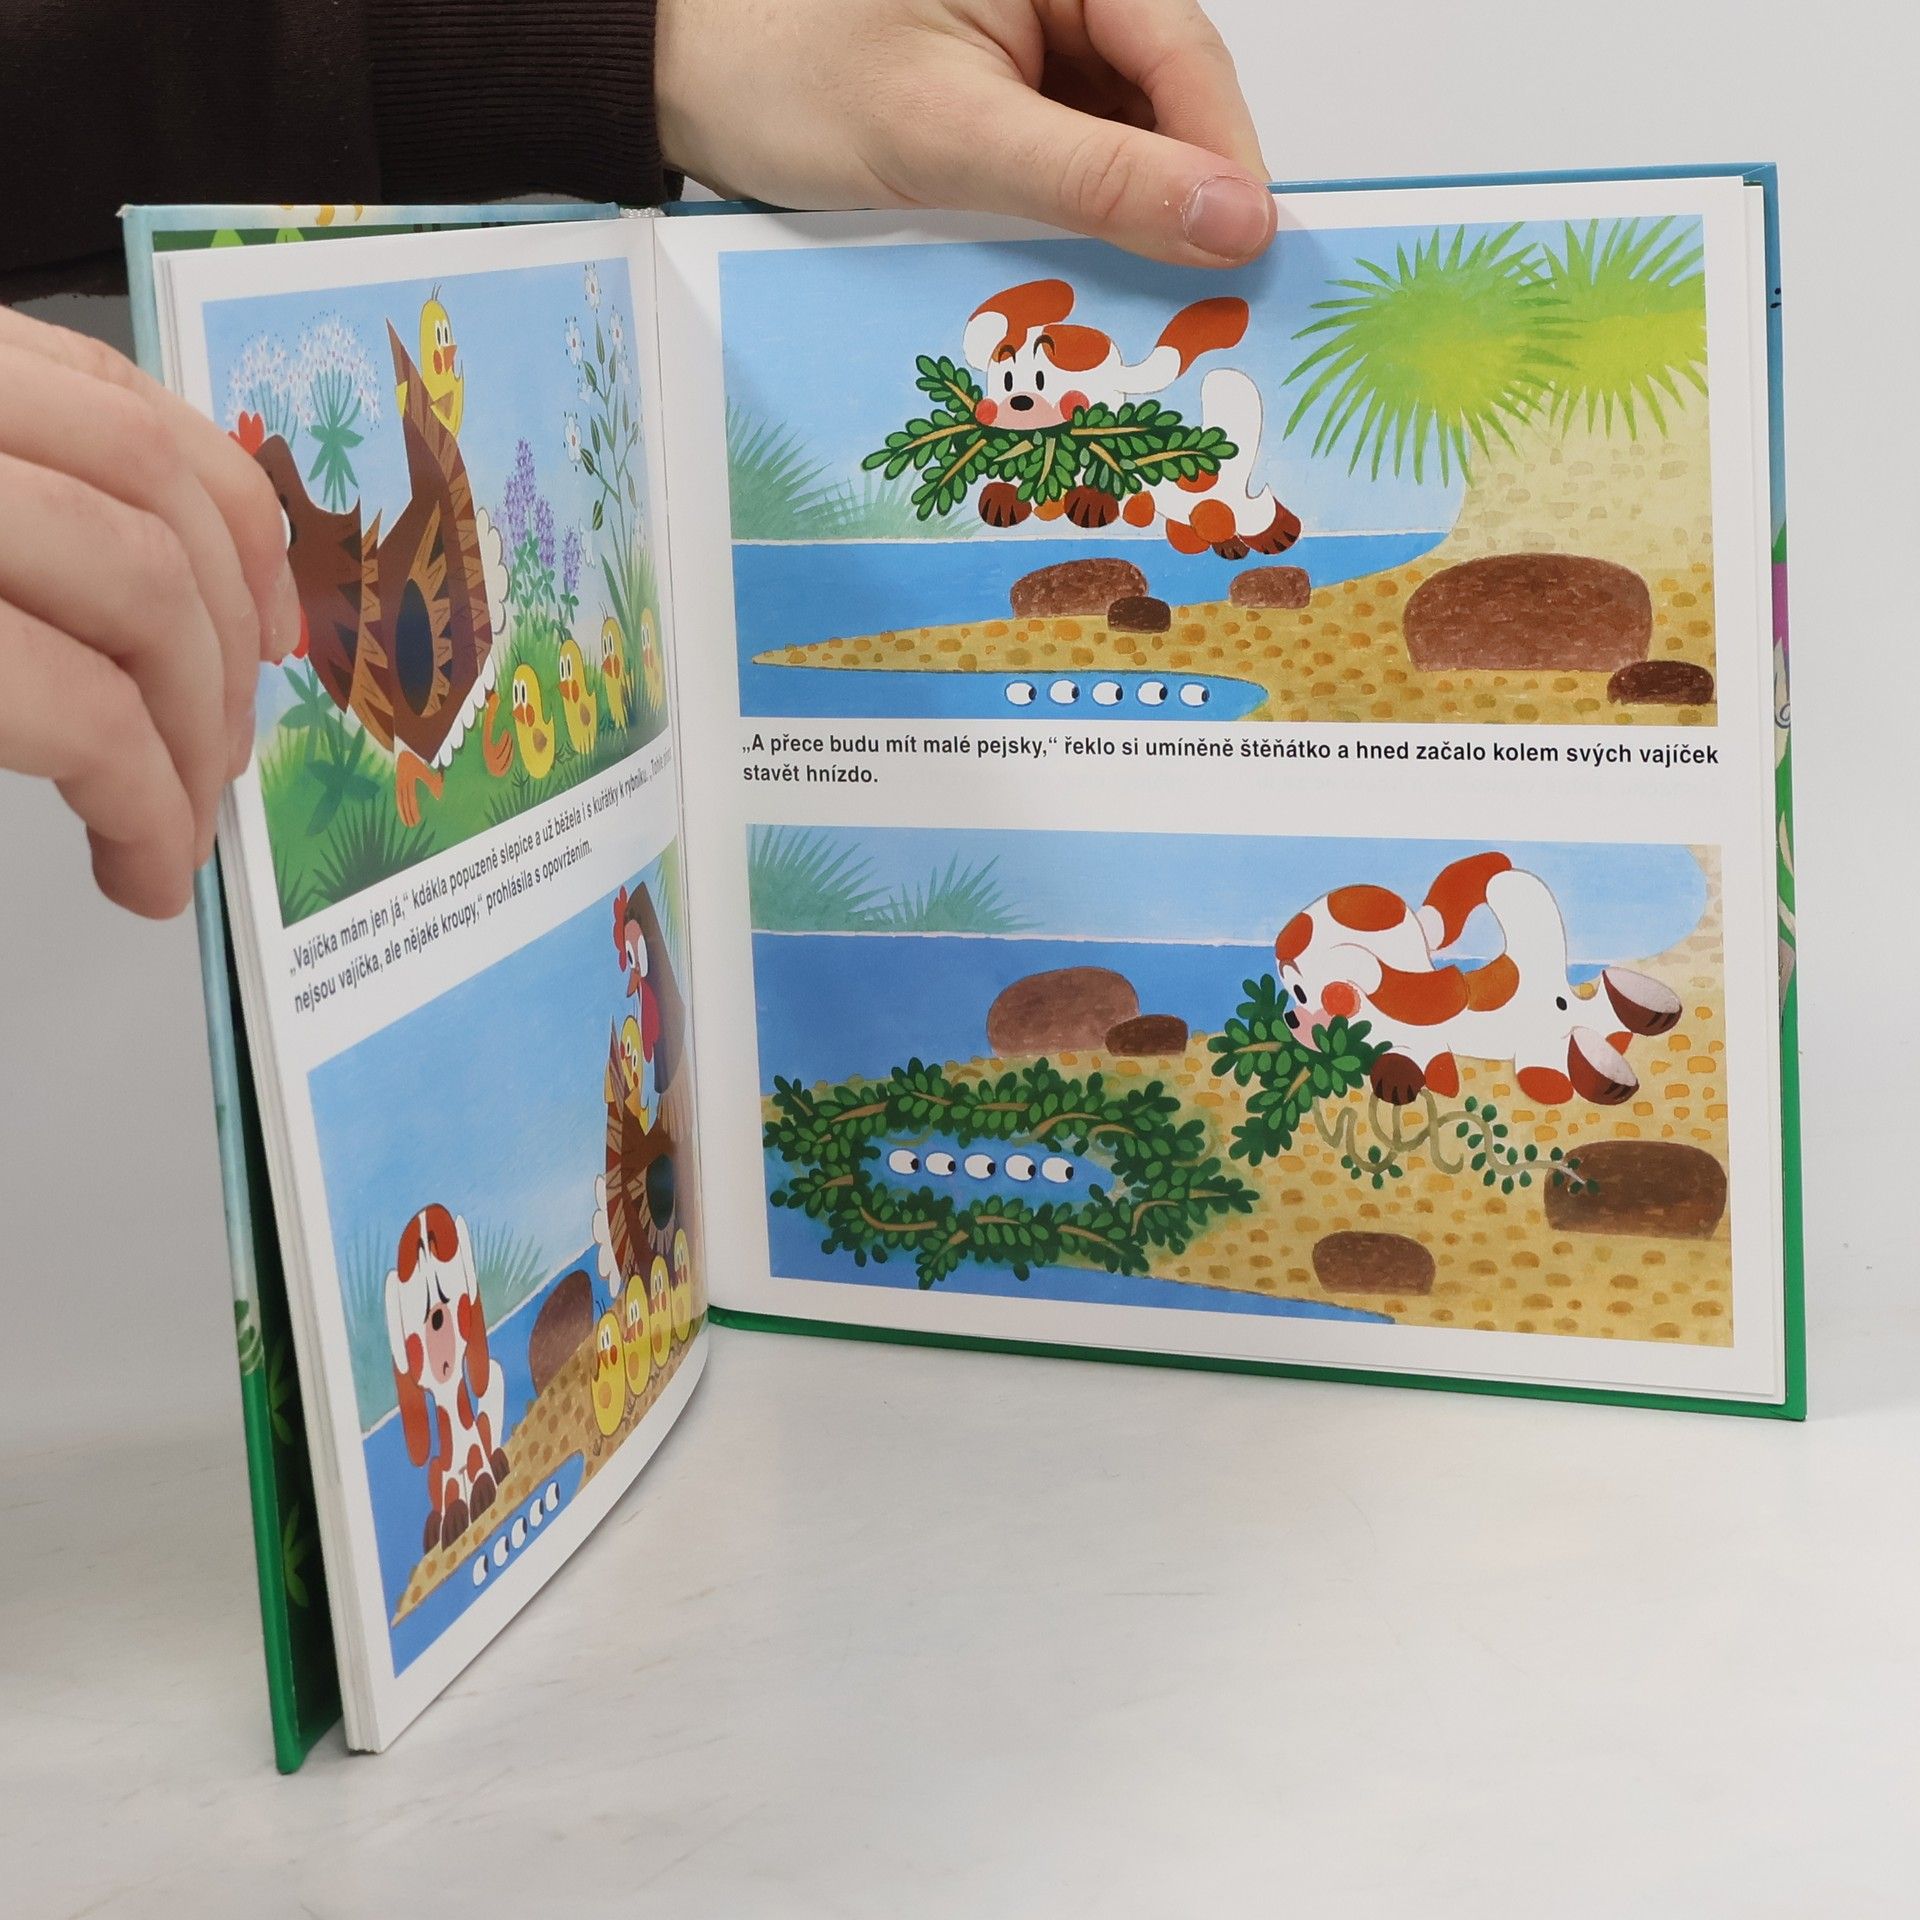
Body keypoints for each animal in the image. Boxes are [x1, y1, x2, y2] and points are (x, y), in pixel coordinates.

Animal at [385, 1204, 510, 1555]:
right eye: (420, 1307)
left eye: (451, 1297)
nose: (437, 1320)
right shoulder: (445, 1475)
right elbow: (451, 1498)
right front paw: (452, 1518)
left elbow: (479, 1474)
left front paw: (481, 1490)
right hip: (433, 1467)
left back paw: (498, 1464)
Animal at [1273, 852, 1683, 1108]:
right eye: (1293, 991)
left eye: (1306, 993)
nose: (1290, 1018)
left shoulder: (1421, 1040)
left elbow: (1413, 1059)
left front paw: (1396, 1083)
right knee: (1600, 1024)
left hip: (1540, 1040)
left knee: (1556, 1058)